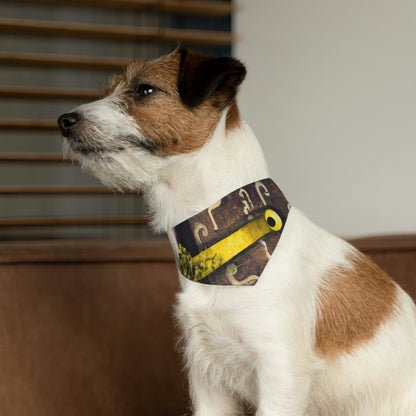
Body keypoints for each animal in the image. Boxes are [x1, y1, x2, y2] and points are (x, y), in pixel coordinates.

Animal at [56, 48, 416, 412]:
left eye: (144, 89)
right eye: (109, 90)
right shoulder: (206, 377)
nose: (63, 121)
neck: (229, 238)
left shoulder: (280, 373)